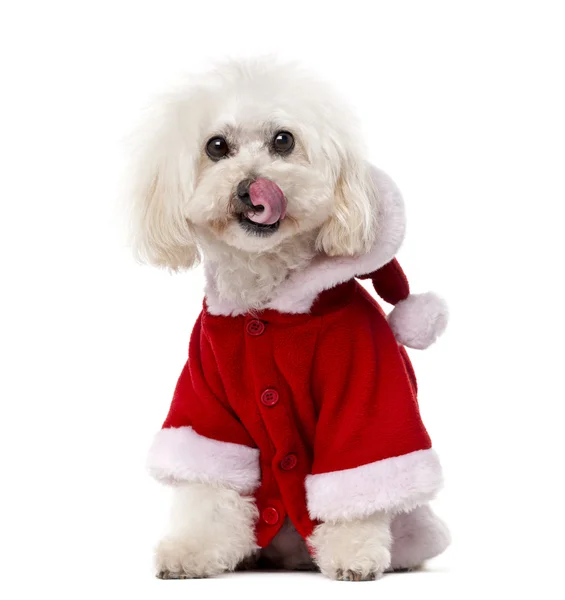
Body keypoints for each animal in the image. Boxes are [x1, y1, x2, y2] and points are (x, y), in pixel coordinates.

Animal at [128, 58, 450, 580]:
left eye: (283, 140)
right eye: (216, 147)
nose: (250, 188)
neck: (268, 304)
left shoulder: (365, 389)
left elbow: (357, 477)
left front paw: (354, 551)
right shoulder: (205, 395)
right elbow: (211, 482)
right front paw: (195, 548)